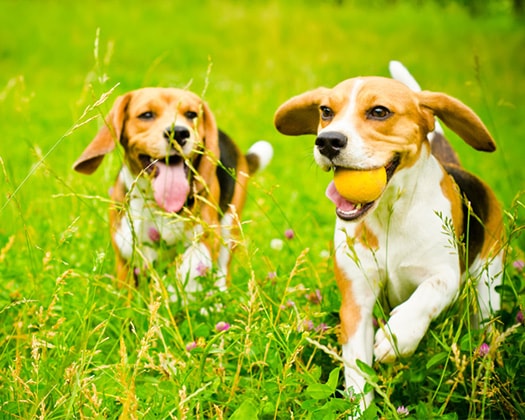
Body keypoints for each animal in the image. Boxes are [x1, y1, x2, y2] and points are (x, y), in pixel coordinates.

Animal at [75, 88, 272, 296]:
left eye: (191, 114)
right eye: (146, 115)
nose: (178, 133)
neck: (157, 204)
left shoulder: (207, 237)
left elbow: (188, 267)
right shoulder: (127, 249)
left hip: (229, 228)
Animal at [272, 64, 502, 412]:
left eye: (379, 112)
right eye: (326, 111)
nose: (327, 141)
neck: (390, 213)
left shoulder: (446, 274)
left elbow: (430, 291)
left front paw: (399, 336)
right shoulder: (356, 303)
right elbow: (357, 374)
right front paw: (360, 411)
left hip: (488, 284)